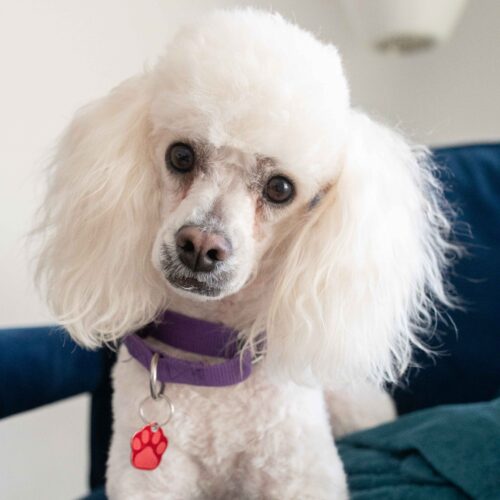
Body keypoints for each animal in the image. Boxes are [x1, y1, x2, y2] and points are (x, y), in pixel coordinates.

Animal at [36, 9, 455, 499]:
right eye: (181, 155)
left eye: (281, 188)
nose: (200, 246)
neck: (208, 364)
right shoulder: (149, 483)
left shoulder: (300, 475)